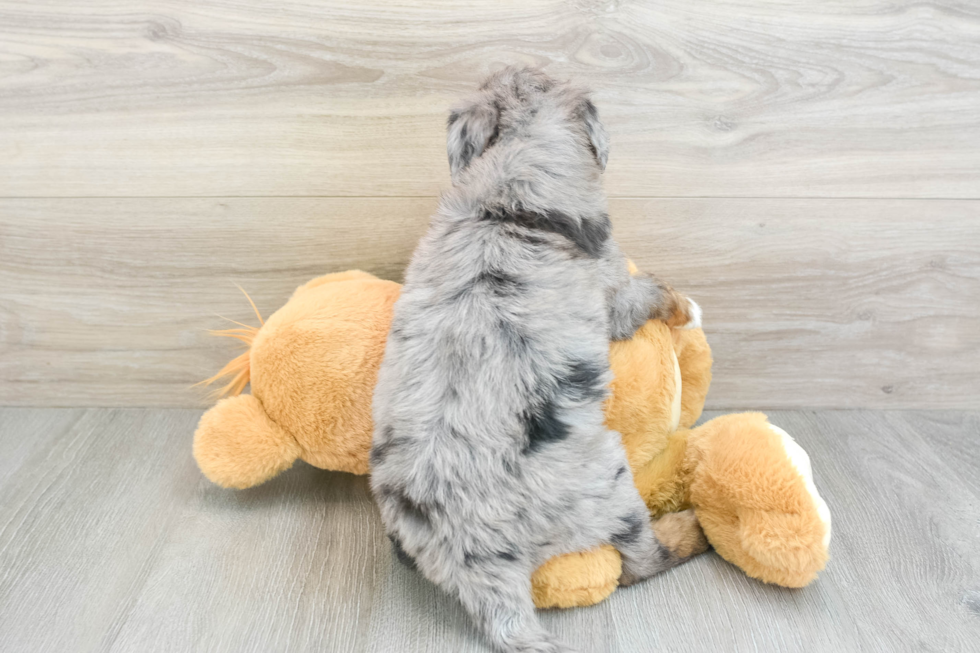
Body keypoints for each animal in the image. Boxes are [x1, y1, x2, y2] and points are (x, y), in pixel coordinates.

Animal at [370, 67, 704, 652]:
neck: (504, 204)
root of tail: (476, 561)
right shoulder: (614, 292)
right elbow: (649, 289)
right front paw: (685, 307)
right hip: (608, 482)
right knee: (640, 560)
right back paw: (690, 530)